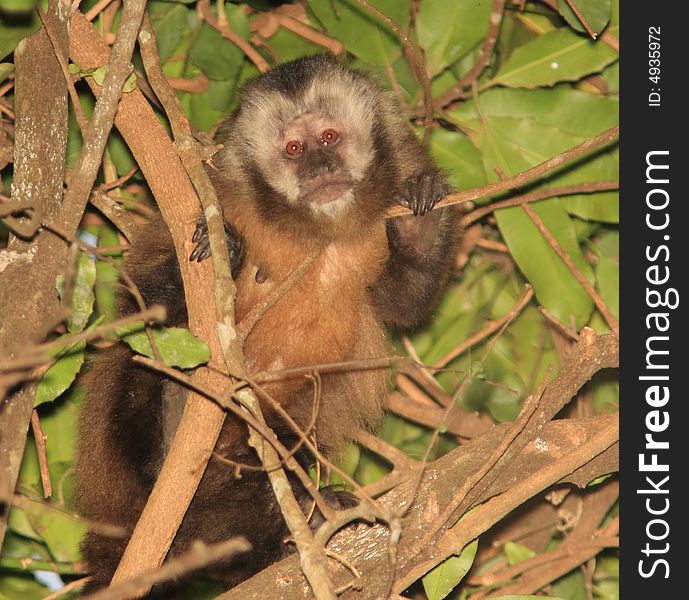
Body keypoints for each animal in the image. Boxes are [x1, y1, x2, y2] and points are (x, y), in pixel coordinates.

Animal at [75, 55, 460, 596]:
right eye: (294, 149)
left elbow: (403, 303)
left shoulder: (399, 171)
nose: (321, 168)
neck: (308, 228)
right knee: (139, 370)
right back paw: (174, 428)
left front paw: (420, 219)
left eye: (329, 137)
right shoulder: (213, 194)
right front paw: (225, 254)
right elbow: (137, 306)